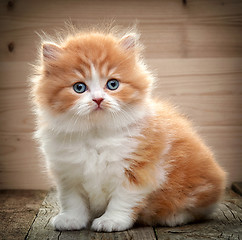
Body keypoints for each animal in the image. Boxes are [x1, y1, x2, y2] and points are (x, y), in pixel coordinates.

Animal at [30, 28, 227, 232]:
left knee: (197, 209)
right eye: (79, 87)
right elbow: (72, 200)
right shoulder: (67, 173)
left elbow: (122, 200)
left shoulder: (138, 170)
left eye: (113, 84)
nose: (98, 99)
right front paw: (71, 220)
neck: (96, 134)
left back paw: (173, 217)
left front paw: (111, 221)